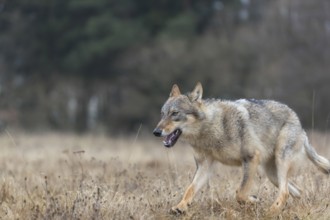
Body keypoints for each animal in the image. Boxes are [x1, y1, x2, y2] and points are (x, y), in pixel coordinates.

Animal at [153, 82, 330, 215]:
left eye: (175, 113)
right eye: (162, 114)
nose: (156, 132)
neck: (213, 128)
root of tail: (300, 124)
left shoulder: (250, 158)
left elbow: (240, 193)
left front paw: (253, 201)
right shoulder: (204, 166)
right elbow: (190, 189)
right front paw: (180, 207)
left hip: (280, 162)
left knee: (285, 191)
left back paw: (270, 211)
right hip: (272, 174)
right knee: (296, 191)